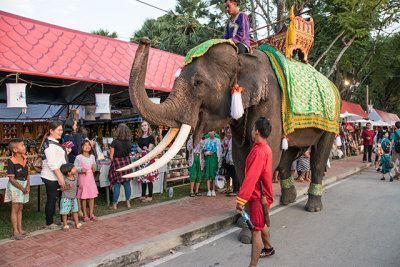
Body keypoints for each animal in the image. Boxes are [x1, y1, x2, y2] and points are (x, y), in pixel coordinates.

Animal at [122, 37, 338, 245]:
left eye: (198, 82)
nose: (145, 40)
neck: (243, 57)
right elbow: (242, 158)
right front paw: (243, 222)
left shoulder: (271, 102)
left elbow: (268, 155)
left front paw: (249, 232)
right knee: (288, 156)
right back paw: (288, 200)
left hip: (331, 121)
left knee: (318, 157)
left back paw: (313, 207)